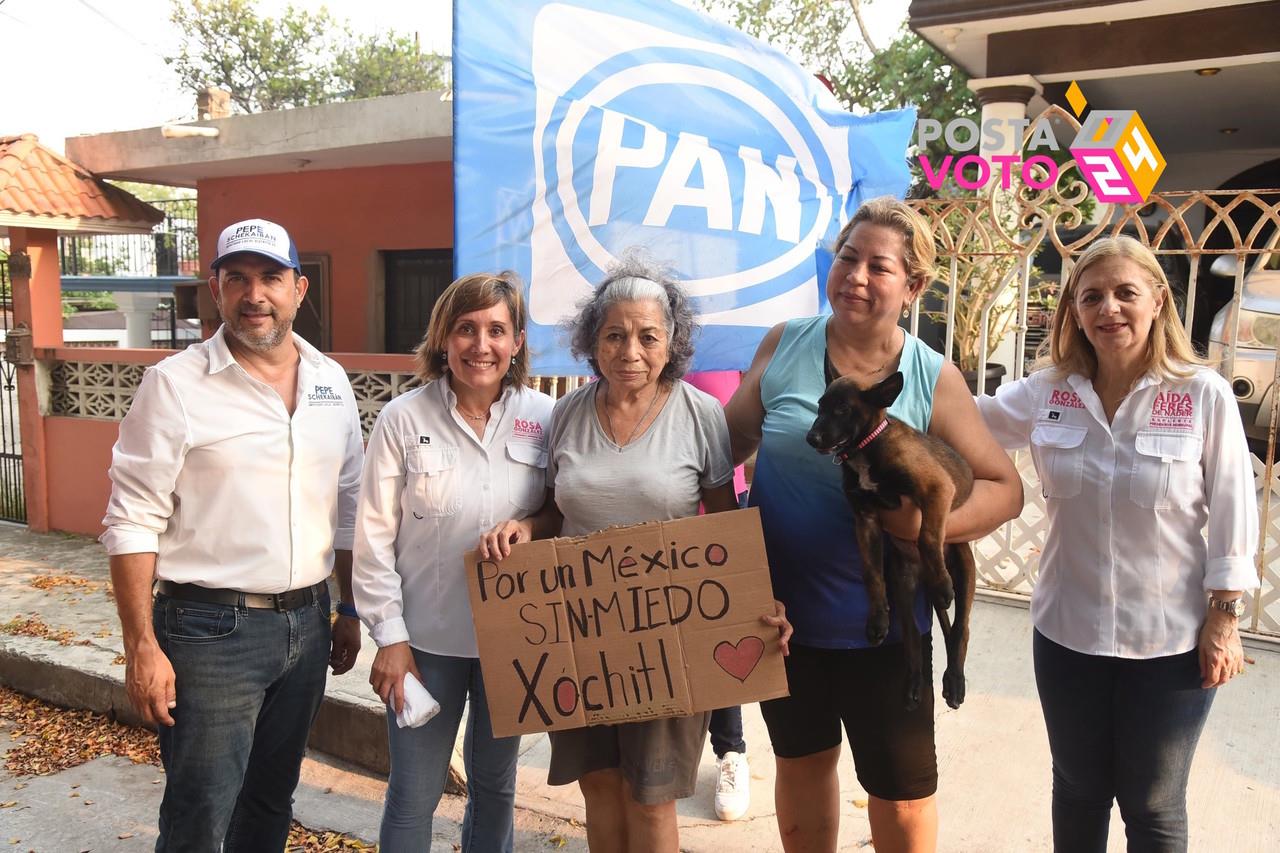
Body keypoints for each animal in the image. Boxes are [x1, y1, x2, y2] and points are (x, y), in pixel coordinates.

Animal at [808, 368, 977, 706]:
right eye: (820, 405)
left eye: (842, 409)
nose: (811, 438)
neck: (866, 449)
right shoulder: (866, 520)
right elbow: (870, 573)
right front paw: (877, 621)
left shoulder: (936, 488)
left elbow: (927, 537)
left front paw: (943, 585)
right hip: (903, 587)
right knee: (912, 639)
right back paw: (913, 683)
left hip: (965, 566)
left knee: (960, 629)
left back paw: (954, 679)